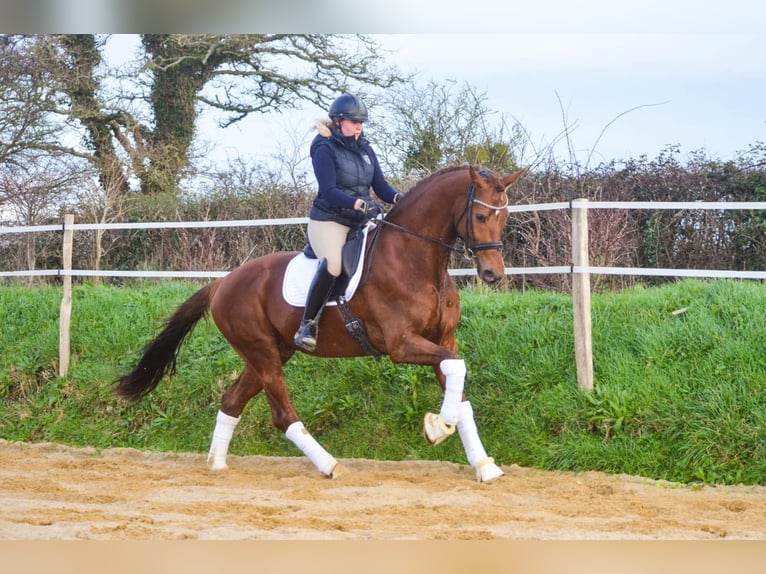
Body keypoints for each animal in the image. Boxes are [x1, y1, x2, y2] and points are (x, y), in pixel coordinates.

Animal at [115, 164, 528, 484]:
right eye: (480, 216)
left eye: (505, 215)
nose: (493, 274)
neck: (417, 261)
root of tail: (223, 283)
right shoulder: (402, 345)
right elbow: (457, 373)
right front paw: (436, 427)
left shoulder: (443, 340)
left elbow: (460, 387)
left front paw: (484, 465)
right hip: (263, 353)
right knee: (283, 415)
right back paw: (330, 465)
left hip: (271, 353)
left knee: (232, 400)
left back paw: (216, 464)